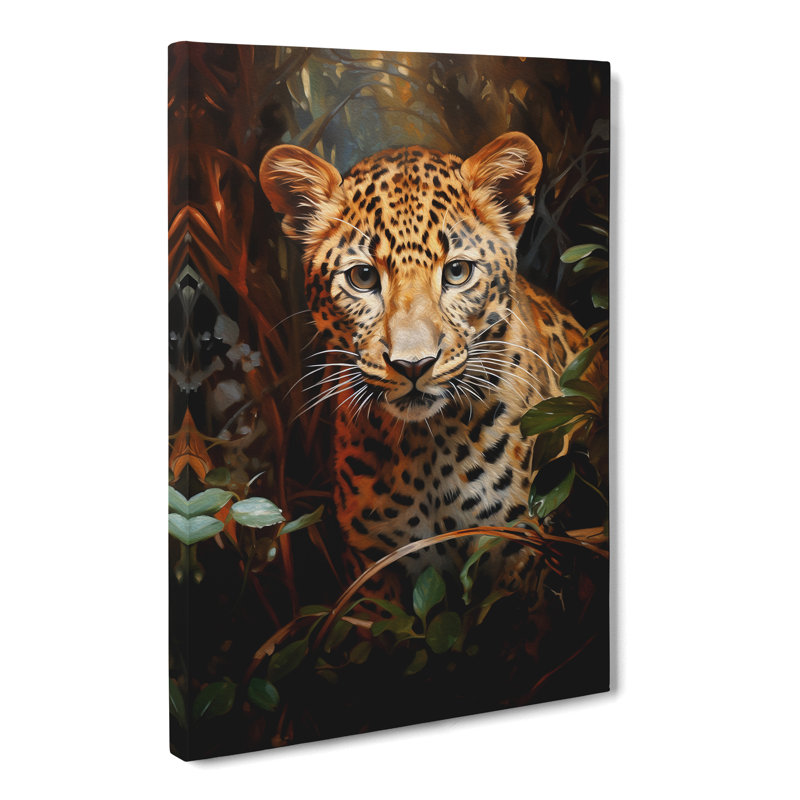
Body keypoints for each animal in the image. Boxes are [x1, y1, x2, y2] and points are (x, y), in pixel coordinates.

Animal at [259, 132, 600, 594]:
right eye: (363, 277)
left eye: (457, 272)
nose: (413, 365)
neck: (427, 451)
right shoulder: (371, 570)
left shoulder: (523, 551)